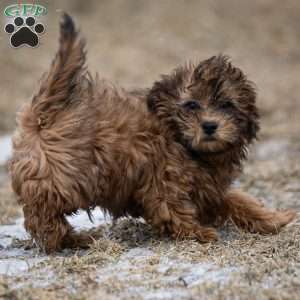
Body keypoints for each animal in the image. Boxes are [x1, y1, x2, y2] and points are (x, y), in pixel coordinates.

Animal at [9, 14, 296, 253]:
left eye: (227, 105)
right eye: (192, 105)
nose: (210, 126)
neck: (179, 137)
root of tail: (43, 113)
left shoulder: (207, 187)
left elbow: (236, 200)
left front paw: (272, 218)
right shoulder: (163, 180)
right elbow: (172, 208)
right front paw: (197, 232)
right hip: (66, 176)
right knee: (42, 213)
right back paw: (64, 238)